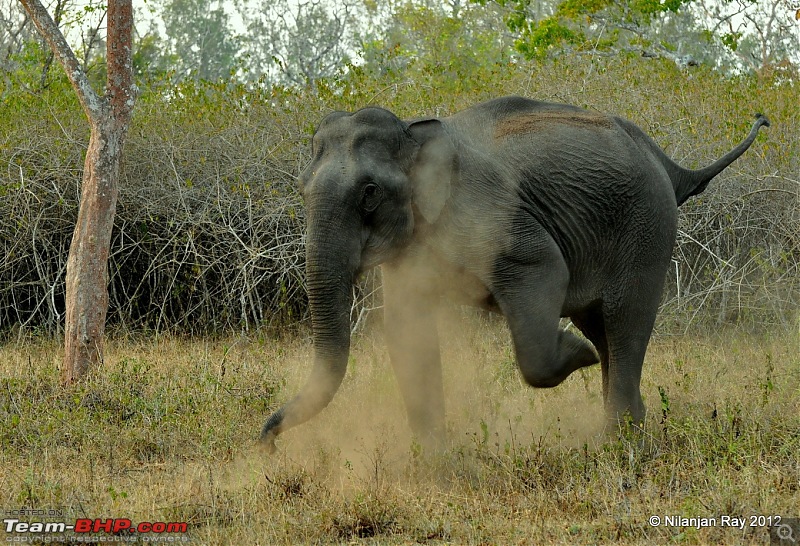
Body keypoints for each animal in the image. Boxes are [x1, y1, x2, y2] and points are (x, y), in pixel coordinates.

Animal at [260, 94, 768, 450]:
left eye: (369, 192)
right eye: (301, 188)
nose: (266, 440)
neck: (414, 133)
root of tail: (668, 163)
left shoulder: (494, 216)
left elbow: (543, 268)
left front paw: (576, 353)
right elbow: (407, 329)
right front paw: (437, 467)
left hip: (647, 225)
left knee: (625, 320)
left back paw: (618, 442)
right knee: (603, 325)